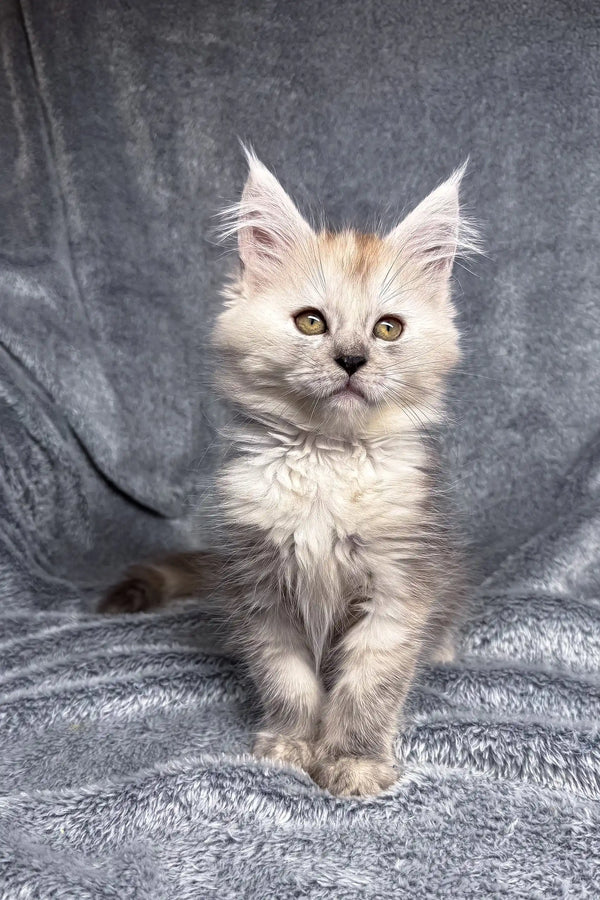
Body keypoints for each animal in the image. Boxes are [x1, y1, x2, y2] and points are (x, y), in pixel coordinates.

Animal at [103, 151, 478, 800]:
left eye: (387, 329)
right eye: (310, 323)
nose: (351, 360)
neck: (326, 459)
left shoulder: (400, 583)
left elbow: (370, 686)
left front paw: (353, 760)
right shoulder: (260, 587)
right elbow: (288, 680)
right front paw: (290, 747)